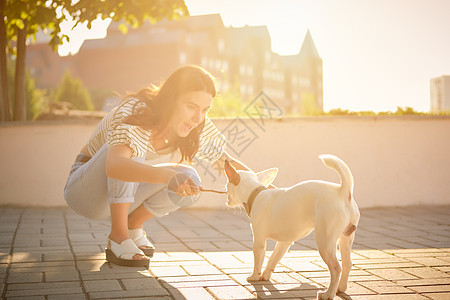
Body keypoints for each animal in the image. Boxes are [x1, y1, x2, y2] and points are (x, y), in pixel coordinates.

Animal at [223, 155, 360, 300]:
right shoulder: (285, 242)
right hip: (346, 238)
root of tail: (343, 191)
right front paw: (265, 276)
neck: (256, 194)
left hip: (325, 241)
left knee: (336, 267)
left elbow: (258, 262)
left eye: (227, 185)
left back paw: (328, 294)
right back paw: (340, 288)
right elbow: (273, 259)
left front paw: (255, 277)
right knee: (347, 263)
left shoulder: (259, 242)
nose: (226, 196)